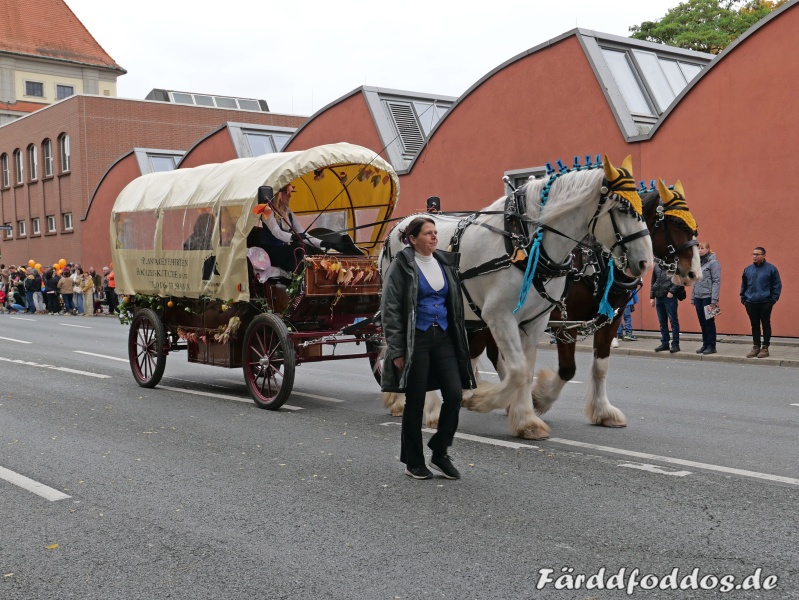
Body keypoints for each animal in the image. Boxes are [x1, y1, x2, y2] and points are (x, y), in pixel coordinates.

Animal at [380, 155, 654, 439]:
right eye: (622, 208)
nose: (646, 262)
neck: (525, 241)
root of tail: (399, 227)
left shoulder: (535, 321)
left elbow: (526, 368)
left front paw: (525, 419)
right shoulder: (500, 316)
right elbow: (519, 369)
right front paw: (485, 400)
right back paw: (422, 406)